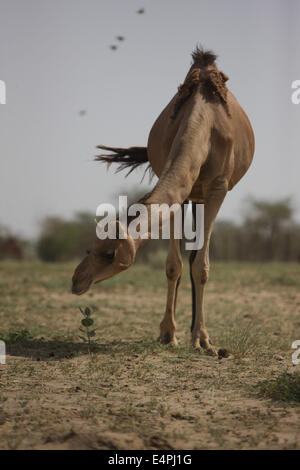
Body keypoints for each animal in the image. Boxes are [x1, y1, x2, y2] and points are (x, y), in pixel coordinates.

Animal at [71, 46, 254, 356]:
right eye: (89, 248)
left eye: (109, 255)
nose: (76, 281)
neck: (205, 122)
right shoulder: (181, 193)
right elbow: (172, 265)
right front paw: (168, 334)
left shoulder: (218, 188)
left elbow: (202, 266)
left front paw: (204, 339)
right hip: (193, 195)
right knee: (186, 258)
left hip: (203, 195)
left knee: (196, 258)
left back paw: (197, 334)